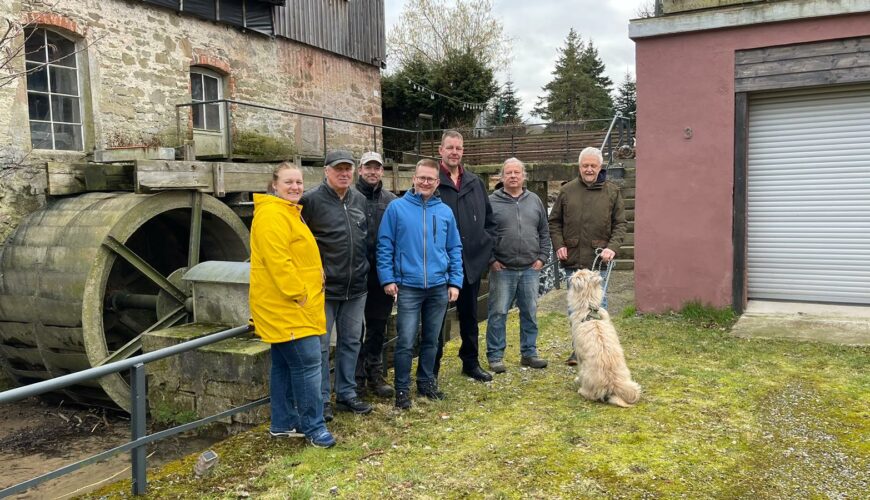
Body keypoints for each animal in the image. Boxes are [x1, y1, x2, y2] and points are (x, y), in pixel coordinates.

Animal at [568, 270, 644, 406]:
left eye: (577, 274)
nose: (570, 277)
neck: (589, 307)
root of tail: (611, 386)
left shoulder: (579, 355)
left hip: (587, 375)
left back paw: (582, 391)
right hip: (632, 385)